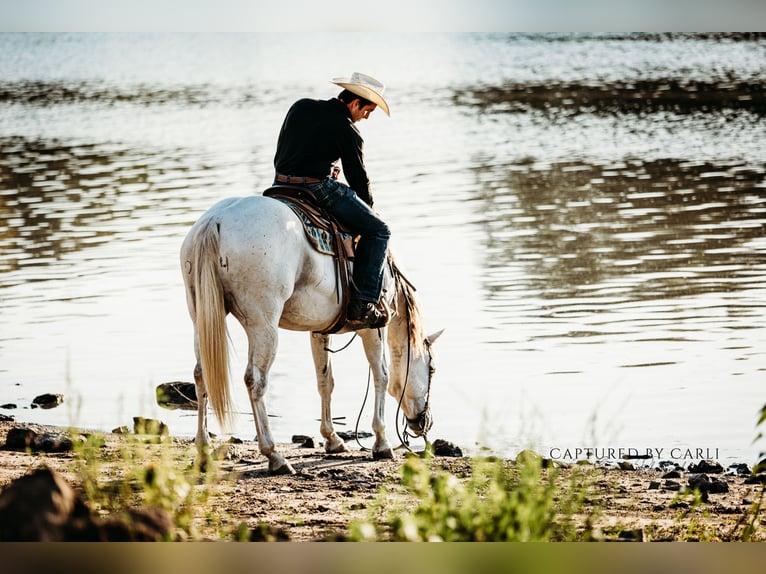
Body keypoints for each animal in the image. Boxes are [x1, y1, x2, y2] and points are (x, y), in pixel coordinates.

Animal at [180, 194, 443, 475]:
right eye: (432, 368)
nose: (425, 422)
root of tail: (214, 221)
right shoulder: (374, 328)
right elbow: (382, 376)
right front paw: (381, 443)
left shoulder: (319, 330)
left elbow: (325, 381)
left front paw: (332, 439)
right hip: (263, 324)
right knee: (255, 381)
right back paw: (274, 456)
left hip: (200, 317)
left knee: (201, 374)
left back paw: (203, 452)